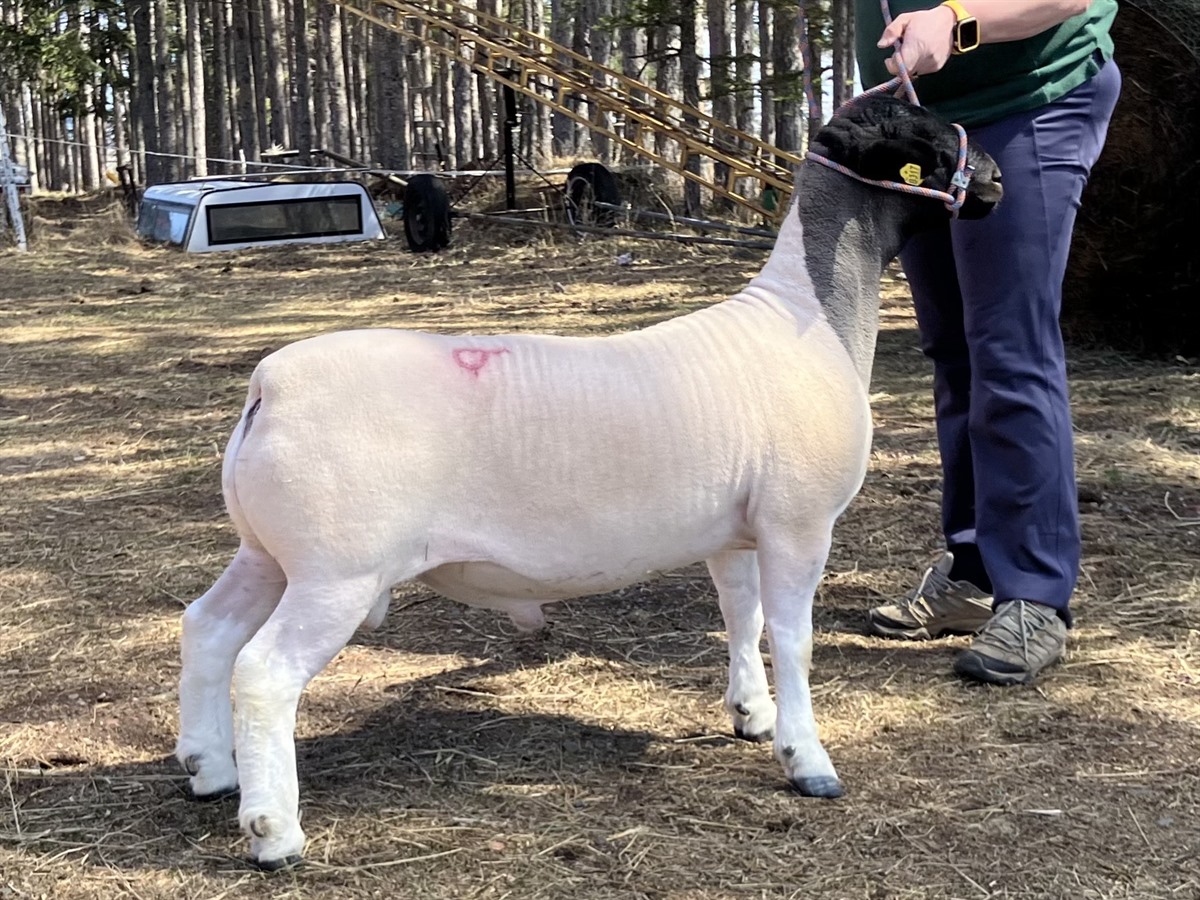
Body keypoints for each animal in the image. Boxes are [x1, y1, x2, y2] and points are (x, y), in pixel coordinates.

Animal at [174, 94, 1003, 870]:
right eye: (923, 136)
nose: (994, 177)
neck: (808, 316)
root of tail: (269, 387)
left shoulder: (736, 532)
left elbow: (743, 618)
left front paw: (750, 715)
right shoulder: (799, 523)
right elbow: (793, 639)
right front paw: (808, 761)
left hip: (269, 553)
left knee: (207, 627)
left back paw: (211, 769)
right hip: (336, 570)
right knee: (264, 673)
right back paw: (274, 830)